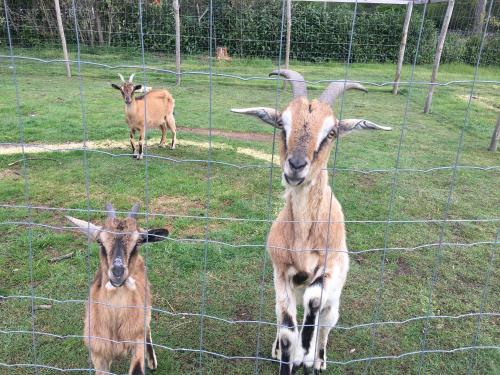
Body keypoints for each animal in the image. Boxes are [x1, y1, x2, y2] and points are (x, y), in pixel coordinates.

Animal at [66, 204, 170, 374]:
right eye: (99, 241)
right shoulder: (98, 352)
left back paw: (152, 361)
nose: (118, 272)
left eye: (139, 241)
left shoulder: (136, 340)